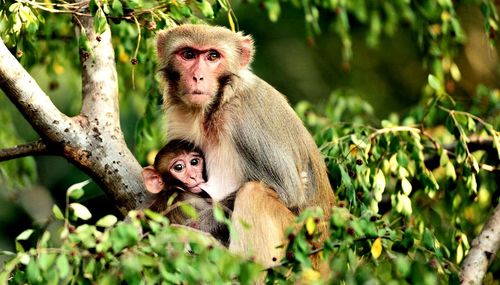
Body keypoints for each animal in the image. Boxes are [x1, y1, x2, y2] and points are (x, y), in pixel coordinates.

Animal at [156, 24, 336, 266]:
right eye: (188, 54)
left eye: (213, 56)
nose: (197, 77)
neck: (215, 108)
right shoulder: (179, 118)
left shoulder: (244, 119)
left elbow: (288, 190)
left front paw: (194, 225)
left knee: (253, 192)